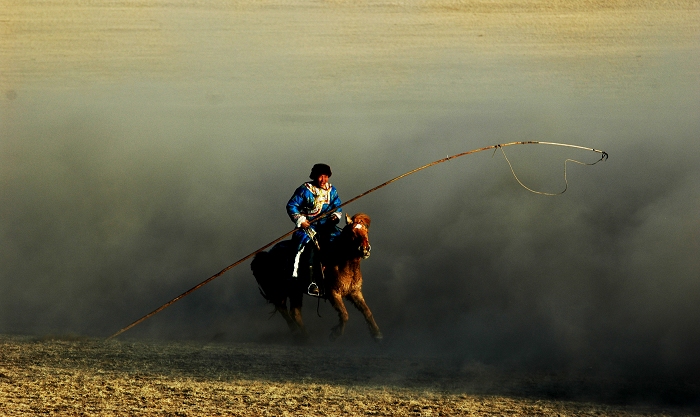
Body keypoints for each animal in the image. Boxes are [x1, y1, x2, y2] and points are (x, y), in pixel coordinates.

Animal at [250, 211, 382, 342]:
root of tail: (266, 255)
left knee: (295, 313)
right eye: (353, 232)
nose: (365, 250)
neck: (341, 261)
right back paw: (297, 335)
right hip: (280, 291)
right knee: (283, 311)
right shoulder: (333, 293)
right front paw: (335, 334)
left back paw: (306, 337)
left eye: (366, 232)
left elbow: (367, 311)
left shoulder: (354, 292)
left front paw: (376, 334)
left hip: (295, 291)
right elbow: (344, 315)